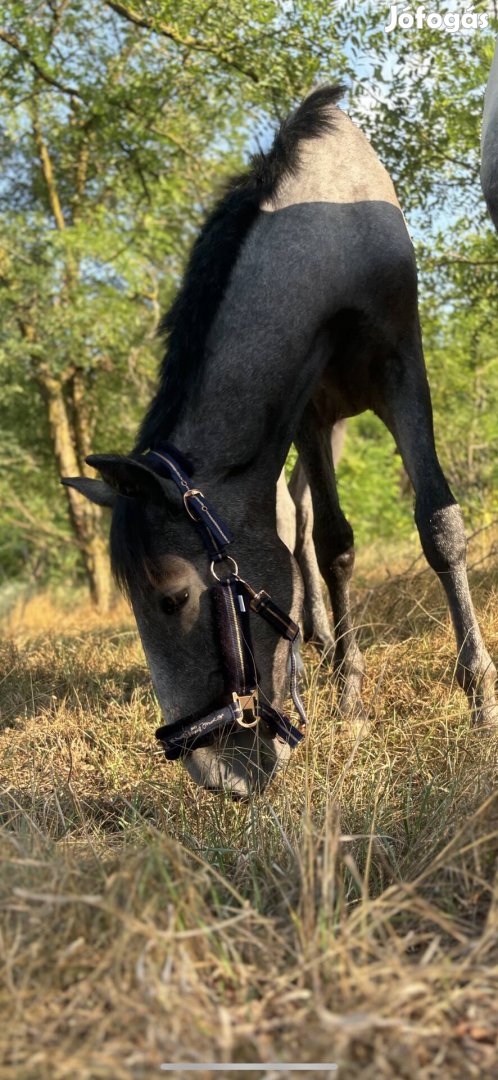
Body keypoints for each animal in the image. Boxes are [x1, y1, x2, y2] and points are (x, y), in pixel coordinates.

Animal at [64, 86, 494, 794]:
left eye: (174, 598)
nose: (218, 777)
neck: (330, 252)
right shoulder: (309, 413)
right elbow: (332, 544)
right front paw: (351, 700)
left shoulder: (402, 372)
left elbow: (439, 525)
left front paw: (481, 698)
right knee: (299, 519)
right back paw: (320, 638)